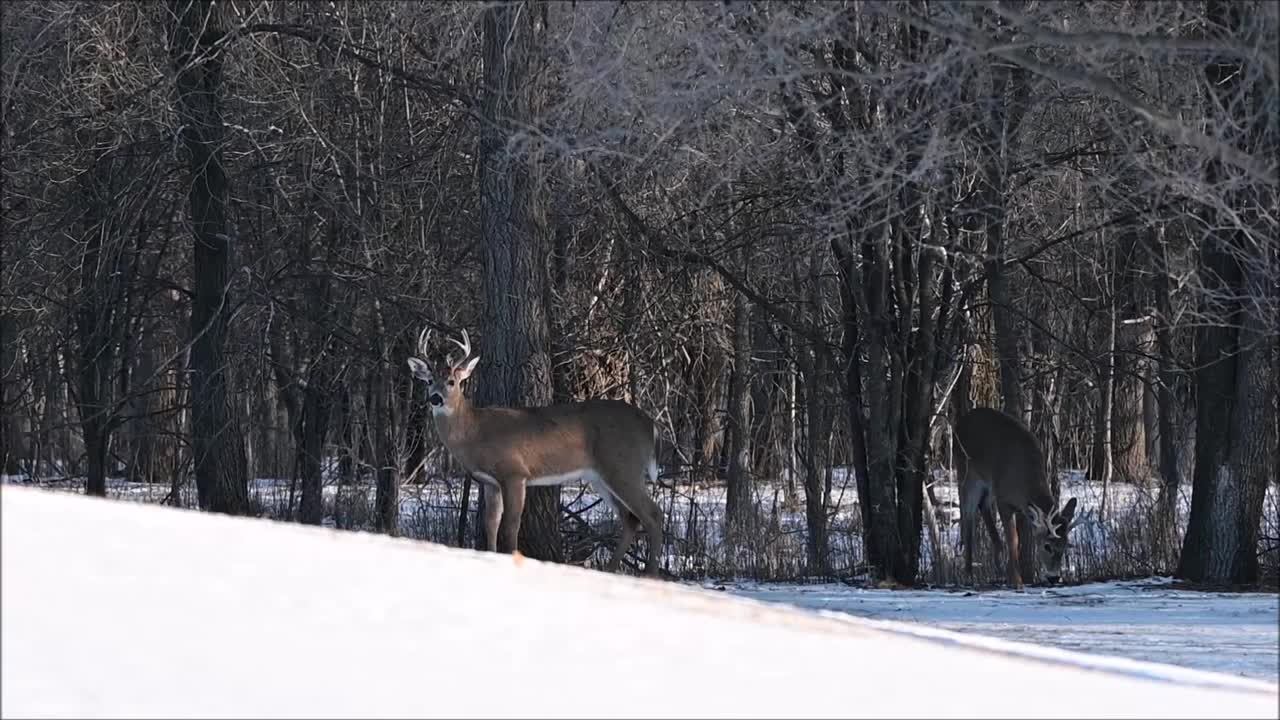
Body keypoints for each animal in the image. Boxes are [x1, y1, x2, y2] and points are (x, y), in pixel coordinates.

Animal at [407, 325, 670, 576]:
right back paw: (612, 570)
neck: (475, 432)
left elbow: (510, 527)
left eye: (452, 382)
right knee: (630, 519)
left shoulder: (514, 473)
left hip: (623, 466)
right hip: (600, 476)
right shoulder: (490, 482)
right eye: (428, 381)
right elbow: (491, 525)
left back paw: (651, 574)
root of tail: (651, 424)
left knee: (653, 514)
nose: (435, 399)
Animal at [952, 404, 1080, 589]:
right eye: (1047, 546)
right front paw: (1016, 581)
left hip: (987, 484)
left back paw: (997, 566)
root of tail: (960, 422)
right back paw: (968, 575)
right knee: (968, 515)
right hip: (966, 473)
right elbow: (1014, 539)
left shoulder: (1019, 505)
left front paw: (1010, 576)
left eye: (1064, 546)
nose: (1054, 577)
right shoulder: (1004, 499)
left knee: (983, 506)